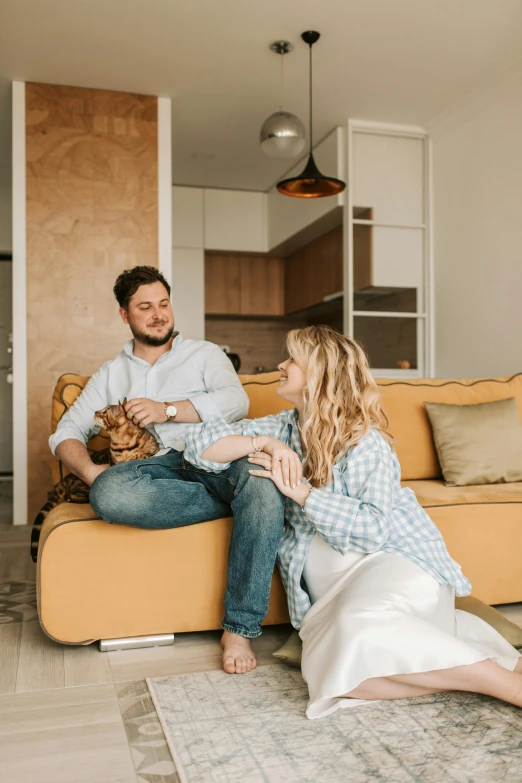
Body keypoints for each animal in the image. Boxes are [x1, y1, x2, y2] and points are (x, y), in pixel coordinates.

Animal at [30, 402, 158, 560]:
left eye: (104, 412)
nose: (96, 411)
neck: (122, 442)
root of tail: (67, 477)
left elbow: (144, 454)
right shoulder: (114, 463)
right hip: (83, 487)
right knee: (71, 496)